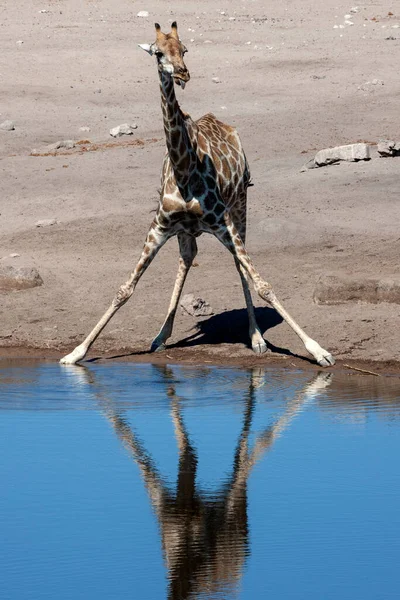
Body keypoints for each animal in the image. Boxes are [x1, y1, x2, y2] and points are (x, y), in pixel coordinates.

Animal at [59, 22, 334, 366]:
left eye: (185, 49)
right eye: (158, 52)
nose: (182, 73)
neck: (184, 170)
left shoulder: (222, 221)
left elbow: (263, 284)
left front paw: (318, 350)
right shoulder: (160, 226)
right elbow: (125, 289)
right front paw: (76, 352)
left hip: (240, 204)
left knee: (238, 266)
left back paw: (256, 338)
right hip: (186, 230)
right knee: (187, 258)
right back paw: (161, 336)